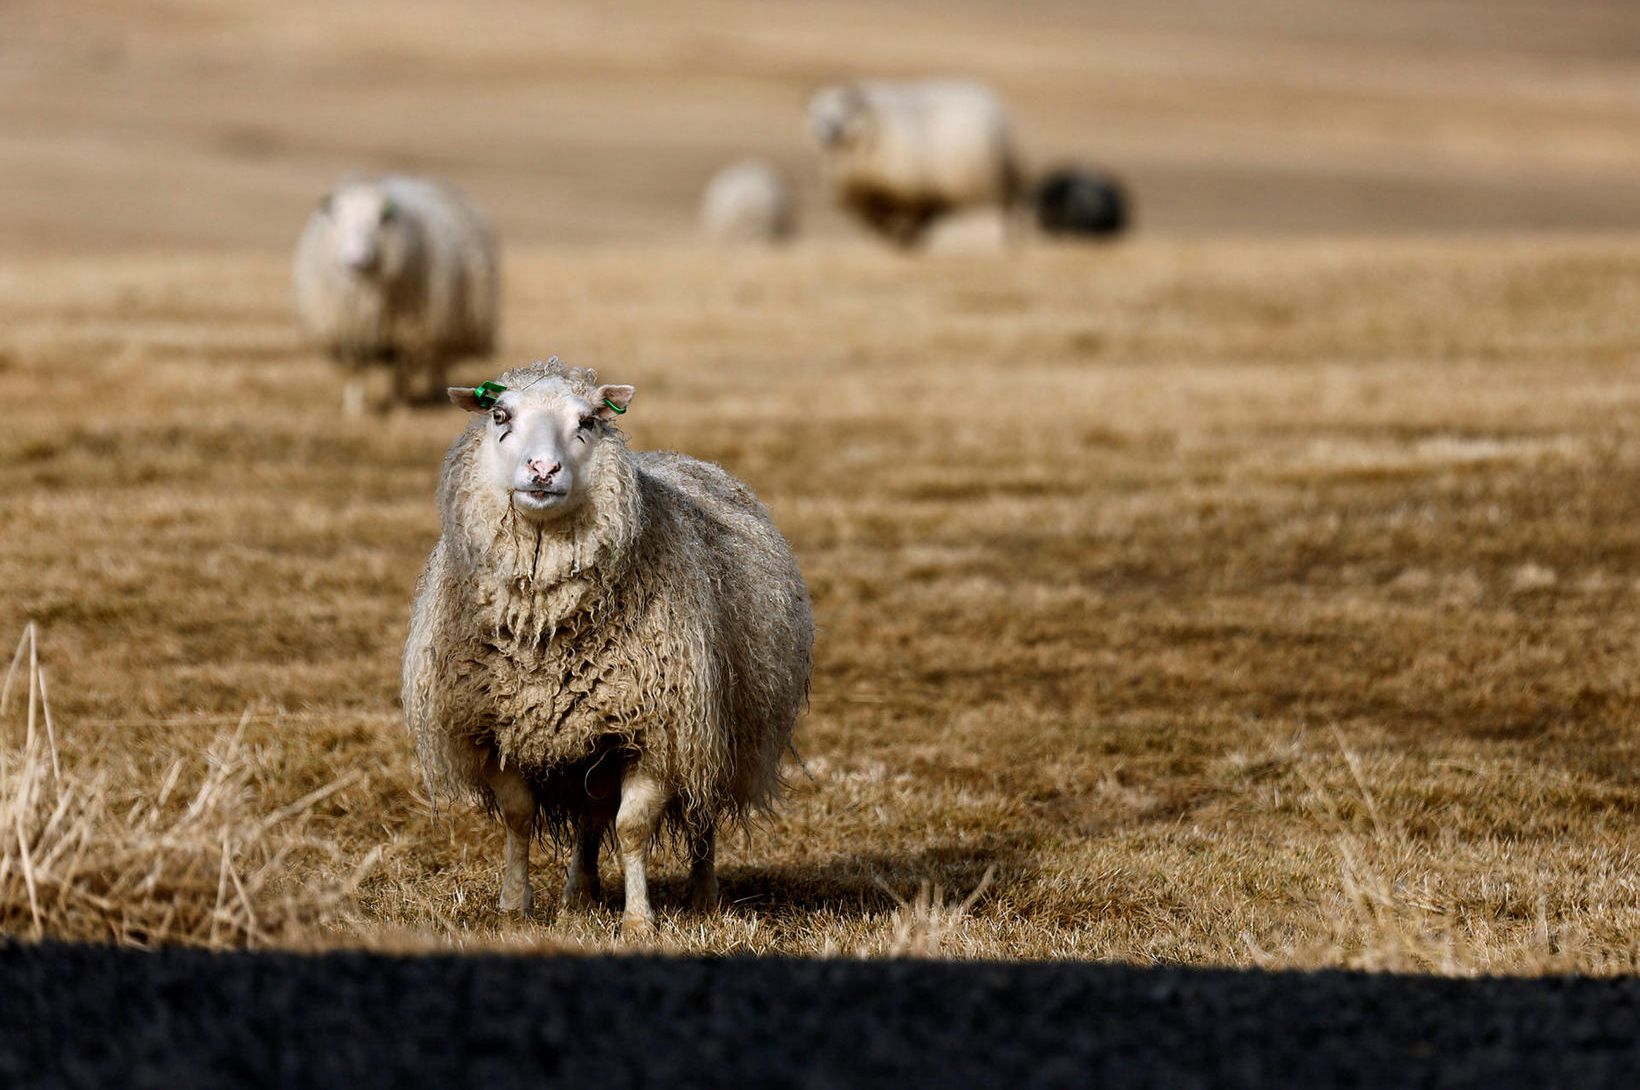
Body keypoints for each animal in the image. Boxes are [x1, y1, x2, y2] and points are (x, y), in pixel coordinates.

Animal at [295, 174, 495, 413]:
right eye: (338, 217)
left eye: (381, 219)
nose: (357, 256)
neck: (367, 291)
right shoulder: (349, 328)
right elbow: (355, 368)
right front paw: (354, 410)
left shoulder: (407, 330)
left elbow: (401, 370)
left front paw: (401, 406)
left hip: (446, 320)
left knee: (438, 360)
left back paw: (437, 393)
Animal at [403, 357, 813, 937]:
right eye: (500, 415)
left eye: (588, 421)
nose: (543, 469)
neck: (544, 630)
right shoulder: (493, 727)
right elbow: (519, 817)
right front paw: (514, 906)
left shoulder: (659, 730)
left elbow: (634, 828)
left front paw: (638, 921)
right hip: (591, 747)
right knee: (589, 819)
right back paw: (578, 894)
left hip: (714, 736)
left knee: (700, 815)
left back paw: (704, 896)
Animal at [803, 78, 1016, 245]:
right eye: (818, 114)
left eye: (842, 113)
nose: (828, 132)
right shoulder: (864, 196)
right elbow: (875, 220)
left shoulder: (911, 193)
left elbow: (907, 220)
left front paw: (902, 239)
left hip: (997, 185)